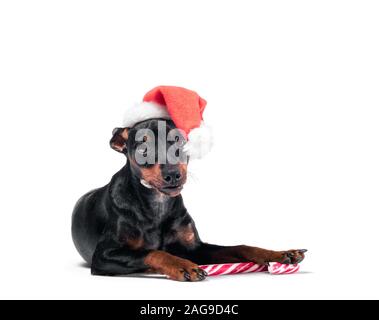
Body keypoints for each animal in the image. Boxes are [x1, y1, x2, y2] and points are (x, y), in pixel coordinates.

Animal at [72, 119, 308, 282]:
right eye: (142, 147)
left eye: (179, 140)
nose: (173, 174)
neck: (158, 204)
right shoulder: (104, 256)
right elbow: (153, 252)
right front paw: (182, 266)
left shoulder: (196, 249)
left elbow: (241, 247)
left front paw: (279, 254)